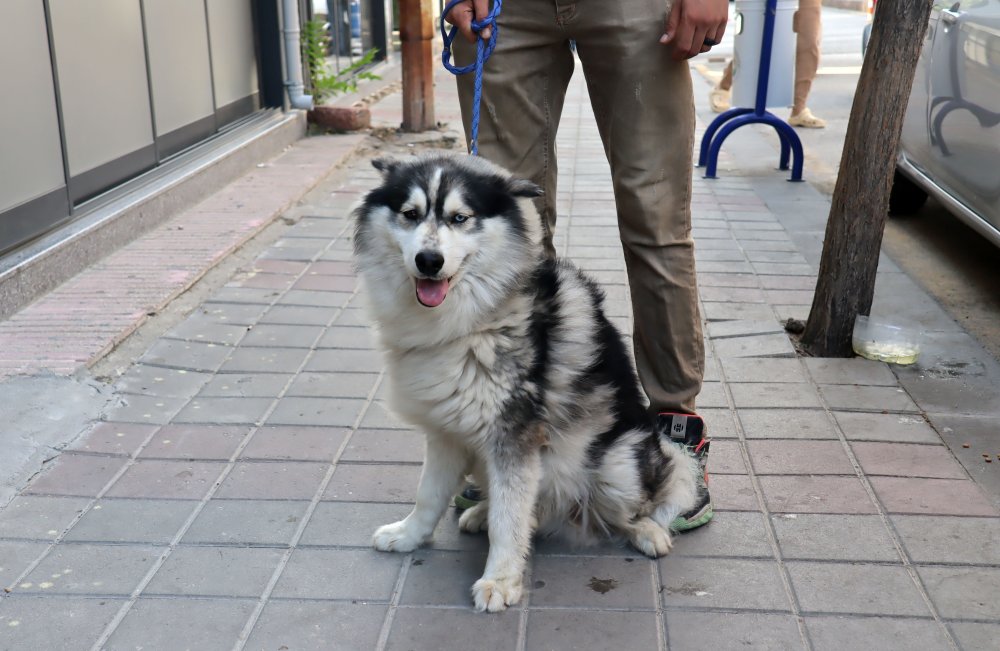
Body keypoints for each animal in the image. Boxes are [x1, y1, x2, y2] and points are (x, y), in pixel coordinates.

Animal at [356, 155, 700, 612]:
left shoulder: (514, 438)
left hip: (618, 463)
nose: (428, 260)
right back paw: (480, 512)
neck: (474, 319)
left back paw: (647, 530)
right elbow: (429, 493)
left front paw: (500, 580)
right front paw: (410, 535)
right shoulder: (446, 430)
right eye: (410, 214)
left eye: (460, 218)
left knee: (639, 504)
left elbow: (510, 518)